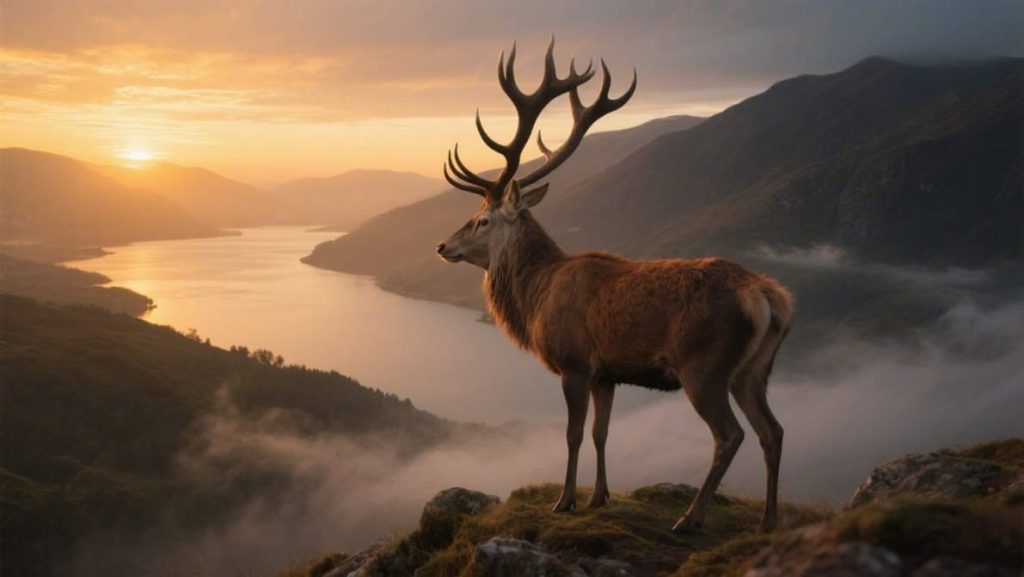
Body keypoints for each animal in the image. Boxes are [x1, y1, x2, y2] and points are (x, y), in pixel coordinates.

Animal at [435, 39, 793, 534]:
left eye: (482, 219)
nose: (442, 245)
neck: (536, 297)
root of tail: (768, 299)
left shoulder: (573, 363)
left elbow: (572, 434)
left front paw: (565, 500)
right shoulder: (607, 373)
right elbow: (601, 433)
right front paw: (599, 496)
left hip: (704, 366)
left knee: (731, 434)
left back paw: (690, 517)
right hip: (754, 369)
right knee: (772, 431)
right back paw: (767, 520)